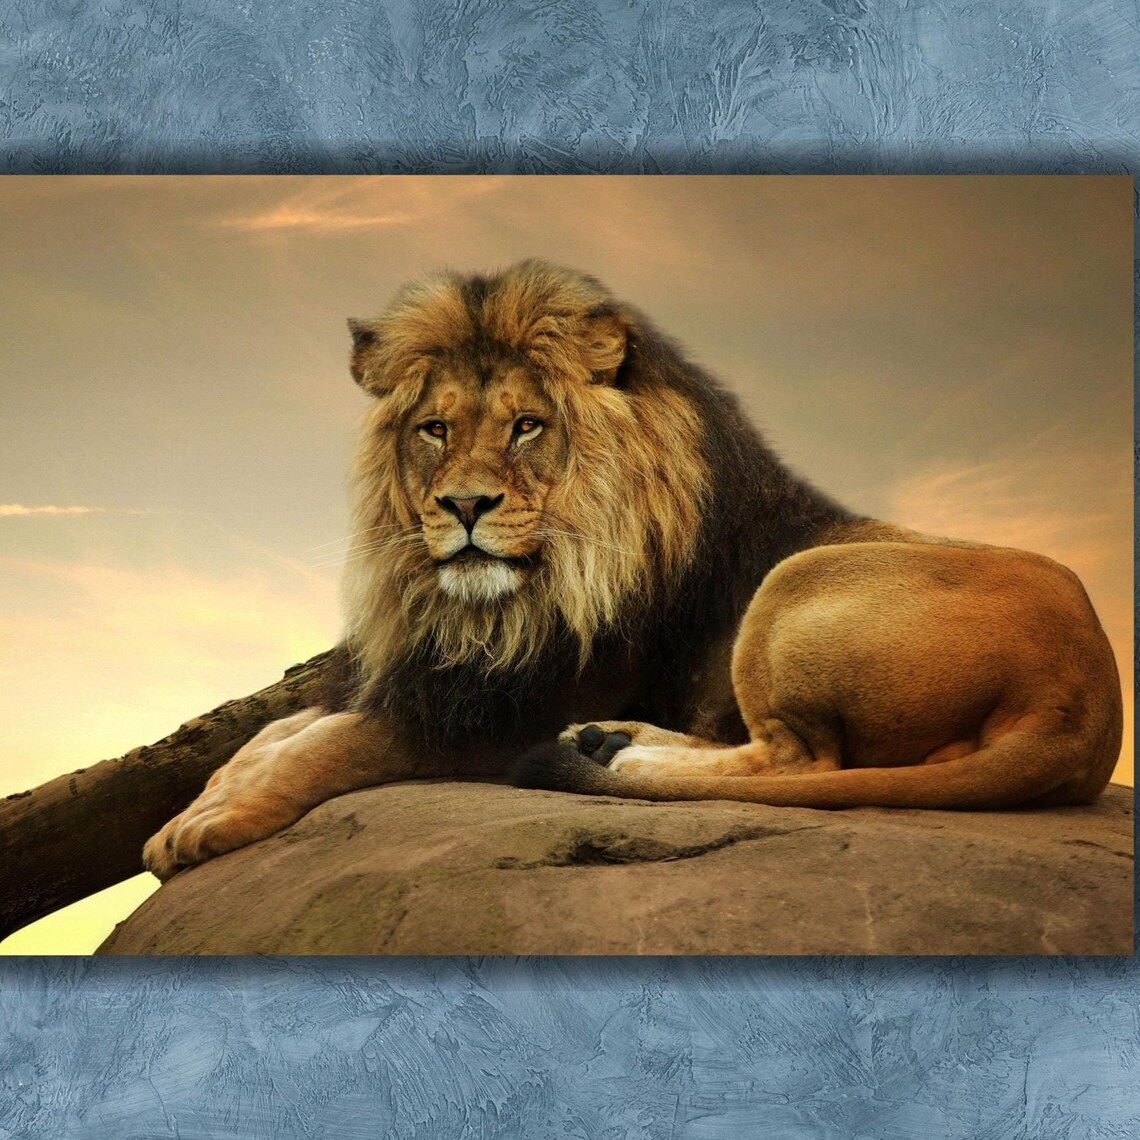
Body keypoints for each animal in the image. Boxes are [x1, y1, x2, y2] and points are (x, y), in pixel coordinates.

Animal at [143, 260, 1122, 880]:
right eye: (435, 429)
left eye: (526, 426)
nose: (464, 507)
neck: (497, 608)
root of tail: (1085, 703)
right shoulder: (438, 675)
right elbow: (279, 732)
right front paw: (198, 806)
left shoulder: (502, 710)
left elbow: (337, 743)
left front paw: (214, 823)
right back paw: (611, 743)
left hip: (795, 586)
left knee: (798, 760)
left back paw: (615, 754)